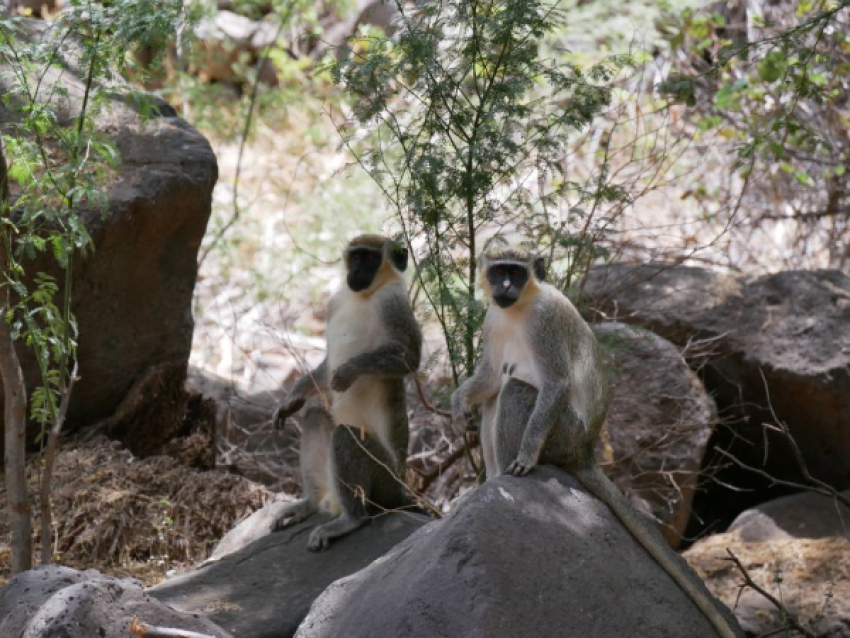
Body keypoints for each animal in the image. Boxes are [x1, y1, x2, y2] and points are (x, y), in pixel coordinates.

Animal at [272, 236, 420, 556]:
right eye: (355, 257)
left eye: (371, 258)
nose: (356, 273)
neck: (363, 296)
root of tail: (401, 485)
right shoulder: (334, 302)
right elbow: (327, 366)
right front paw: (293, 399)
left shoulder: (394, 304)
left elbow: (409, 359)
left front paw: (349, 371)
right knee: (316, 418)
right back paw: (310, 503)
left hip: (384, 479)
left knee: (346, 436)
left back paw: (350, 520)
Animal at [450, 246, 744, 638]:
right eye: (499, 272)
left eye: (516, 272)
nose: (506, 287)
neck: (519, 307)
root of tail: (586, 449)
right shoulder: (491, 319)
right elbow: (489, 377)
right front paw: (458, 402)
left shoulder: (544, 322)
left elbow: (555, 383)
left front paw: (526, 456)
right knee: (497, 393)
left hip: (564, 434)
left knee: (514, 391)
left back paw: (503, 476)